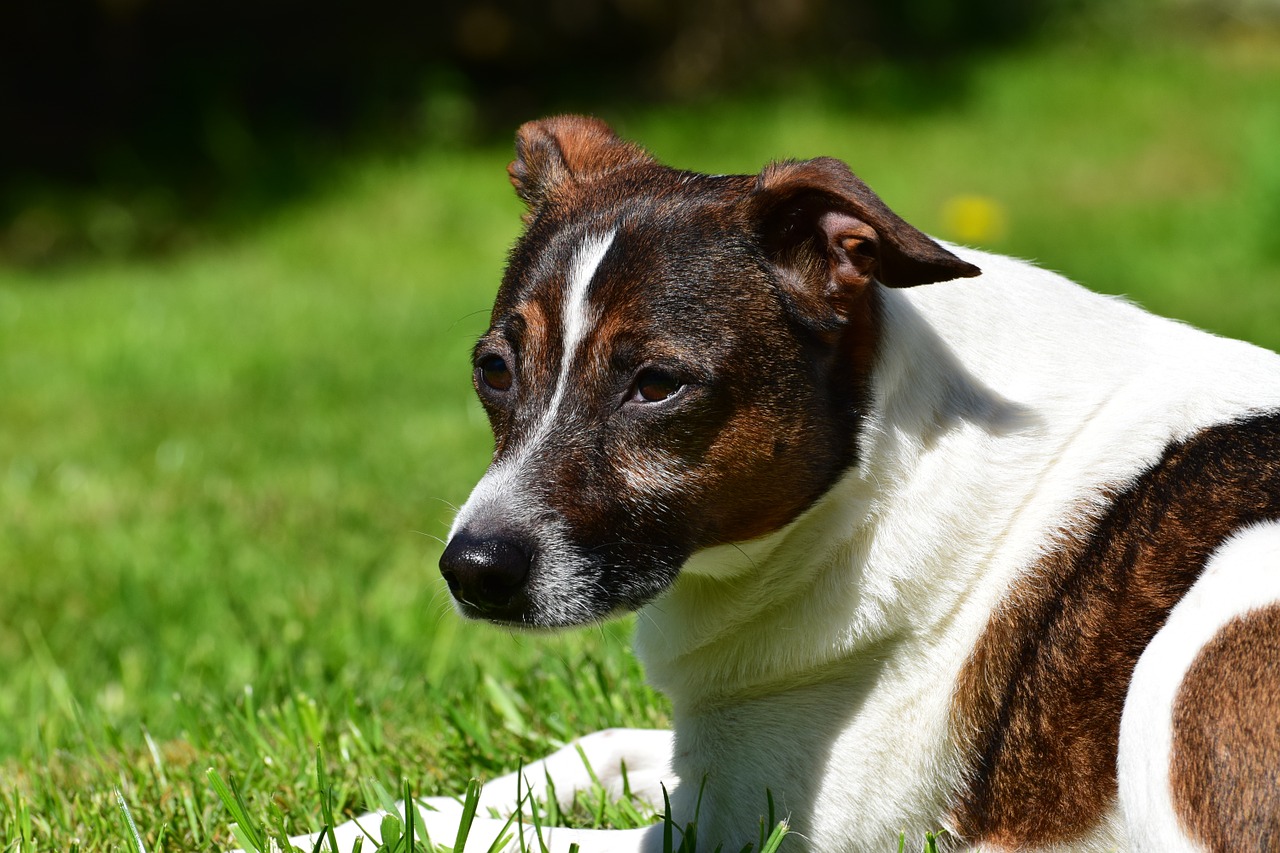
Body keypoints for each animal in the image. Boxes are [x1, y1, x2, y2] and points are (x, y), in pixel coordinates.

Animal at [277, 114, 1280, 850]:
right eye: (493, 369)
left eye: (656, 384)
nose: (472, 570)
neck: (867, 481)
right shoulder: (717, 763)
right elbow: (571, 758)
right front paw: (361, 820)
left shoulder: (747, 832)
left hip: (1202, 637)